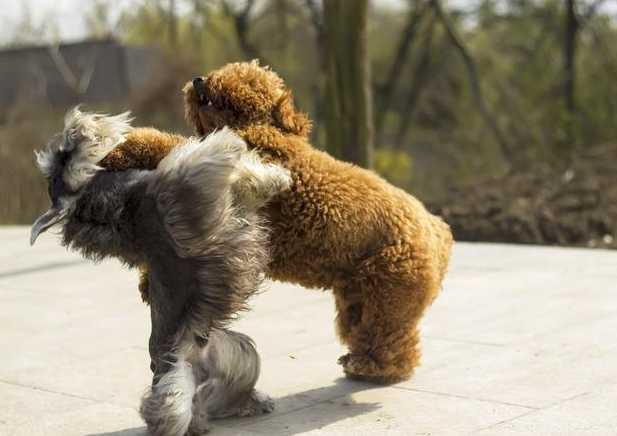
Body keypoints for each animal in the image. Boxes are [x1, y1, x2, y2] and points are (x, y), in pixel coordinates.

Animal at [32, 109, 292, 436]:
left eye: (63, 156)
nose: (76, 124)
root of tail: (196, 364)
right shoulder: (182, 185)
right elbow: (219, 156)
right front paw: (272, 174)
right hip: (176, 390)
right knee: (170, 412)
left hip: (242, 357)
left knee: (224, 394)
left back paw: (240, 407)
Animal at [101, 60, 452, 382]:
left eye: (244, 79)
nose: (199, 79)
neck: (260, 127)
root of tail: (438, 230)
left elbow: (167, 146)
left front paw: (119, 149)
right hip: (358, 296)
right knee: (370, 332)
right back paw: (361, 361)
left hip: (390, 294)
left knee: (394, 341)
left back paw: (372, 368)